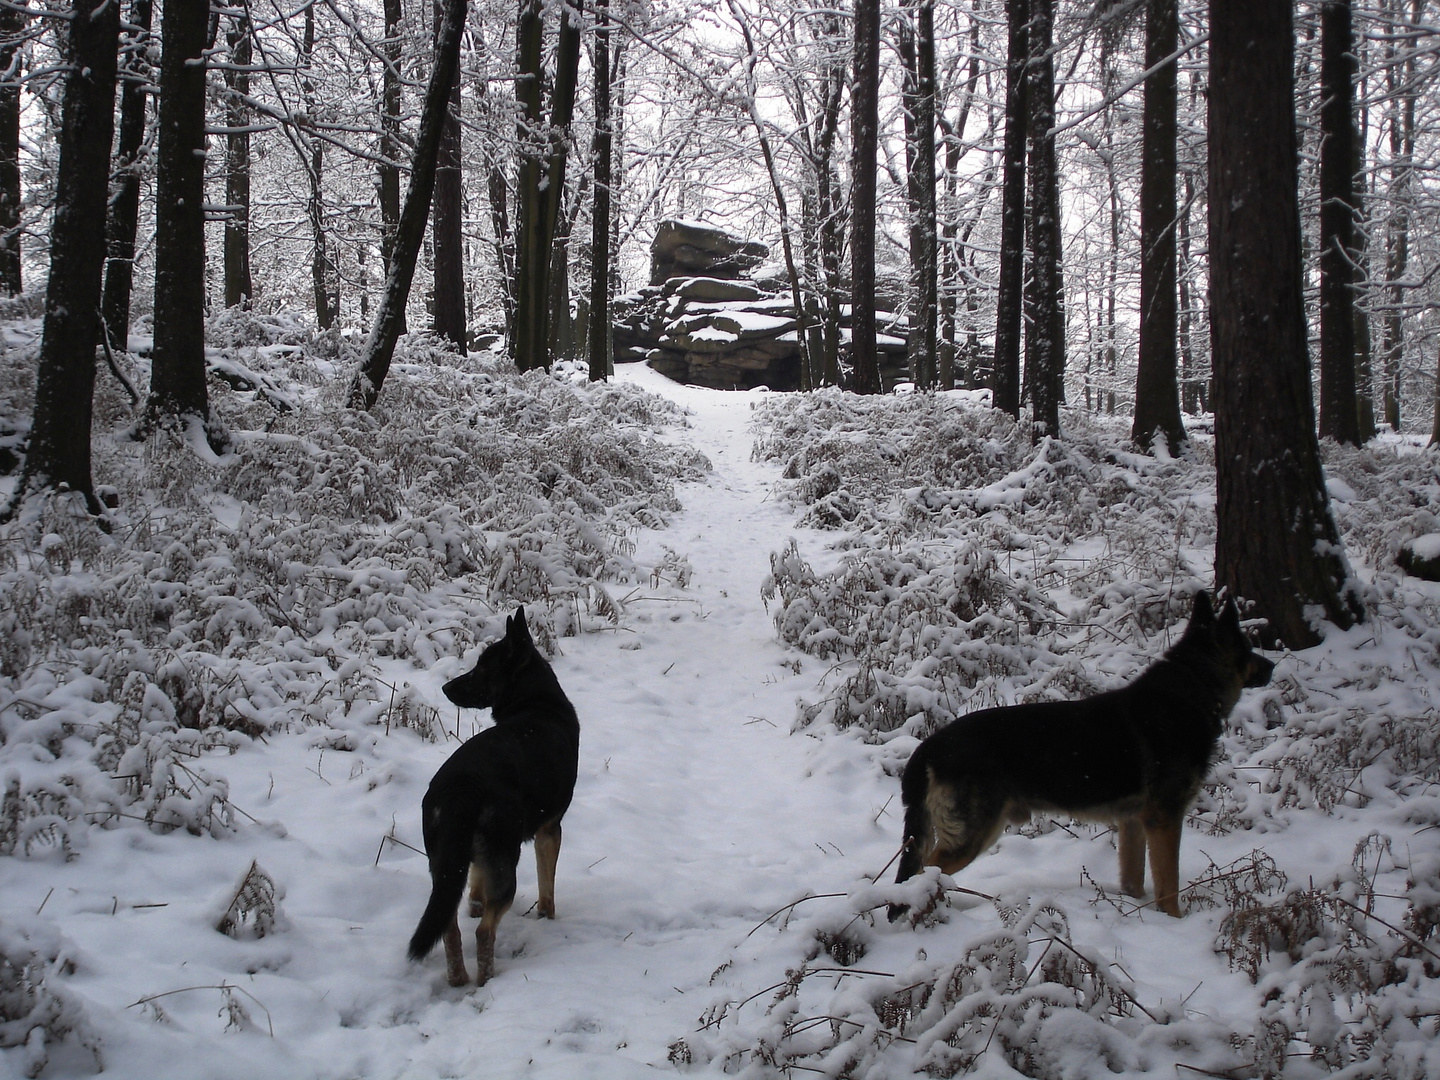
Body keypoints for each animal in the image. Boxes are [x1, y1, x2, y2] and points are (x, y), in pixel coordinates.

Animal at [406, 610, 578, 990]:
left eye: (482, 669)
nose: (446, 688)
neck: (536, 703)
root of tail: (460, 788)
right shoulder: (549, 830)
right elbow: (547, 886)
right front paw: (547, 917)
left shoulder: (473, 861)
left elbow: (475, 885)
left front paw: (474, 903)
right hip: (505, 859)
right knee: (484, 933)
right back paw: (486, 979)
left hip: (443, 864)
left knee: (449, 928)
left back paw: (458, 978)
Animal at [887, 593, 1272, 921]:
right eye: (1249, 648)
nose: (1271, 666)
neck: (1189, 690)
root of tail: (929, 745)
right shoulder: (1165, 819)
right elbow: (1169, 886)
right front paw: (1174, 923)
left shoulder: (1134, 823)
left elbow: (1133, 879)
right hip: (970, 837)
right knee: (919, 876)